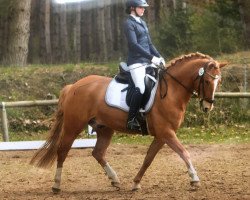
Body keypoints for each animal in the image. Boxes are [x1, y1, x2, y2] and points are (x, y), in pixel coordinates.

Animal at [29, 52, 227, 193]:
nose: (208, 106)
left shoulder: (161, 135)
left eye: (219, 81)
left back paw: (115, 181)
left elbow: (148, 159)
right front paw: (194, 180)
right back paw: (56, 185)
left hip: (104, 128)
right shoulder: (166, 133)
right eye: (207, 80)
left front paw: (136, 183)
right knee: (62, 150)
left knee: (98, 153)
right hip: (73, 126)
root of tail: (73, 86)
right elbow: (184, 152)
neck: (171, 91)